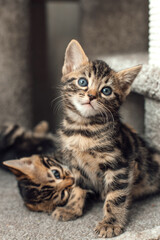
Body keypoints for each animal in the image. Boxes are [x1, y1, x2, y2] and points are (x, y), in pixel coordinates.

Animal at [51, 39, 160, 238]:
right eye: (83, 82)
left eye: (106, 90)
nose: (91, 96)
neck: (84, 128)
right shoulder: (76, 164)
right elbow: (77, 187)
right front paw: (71, 209)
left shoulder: (119, 165)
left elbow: (115, 198)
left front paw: (111, 223)